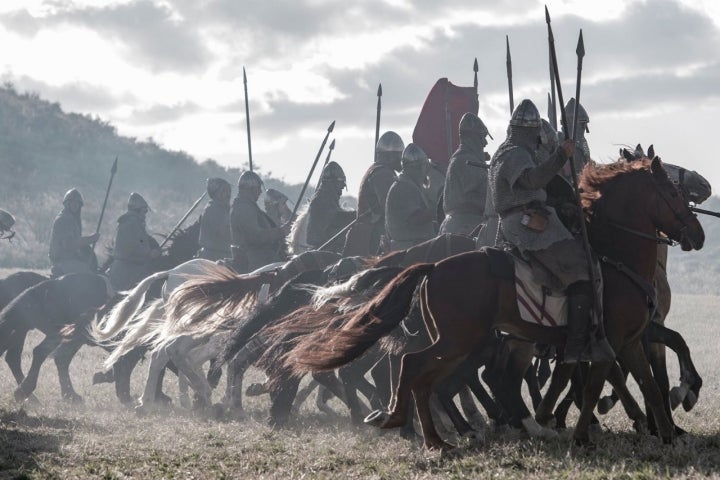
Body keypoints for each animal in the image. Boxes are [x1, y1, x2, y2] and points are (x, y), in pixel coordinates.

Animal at [274, 158, 704, 450]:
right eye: (672, 193)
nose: (698, 235)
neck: (616, 257)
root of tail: (431, 266)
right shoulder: (607, 341)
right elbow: (602, 380)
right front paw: (585, 433)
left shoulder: (629, 341)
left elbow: (648, 382)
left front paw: (668, 432)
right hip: (461, 341)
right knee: (418, 370)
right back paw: (438, 430)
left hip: (463, 342)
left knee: (425, 375)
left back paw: (434, 432)